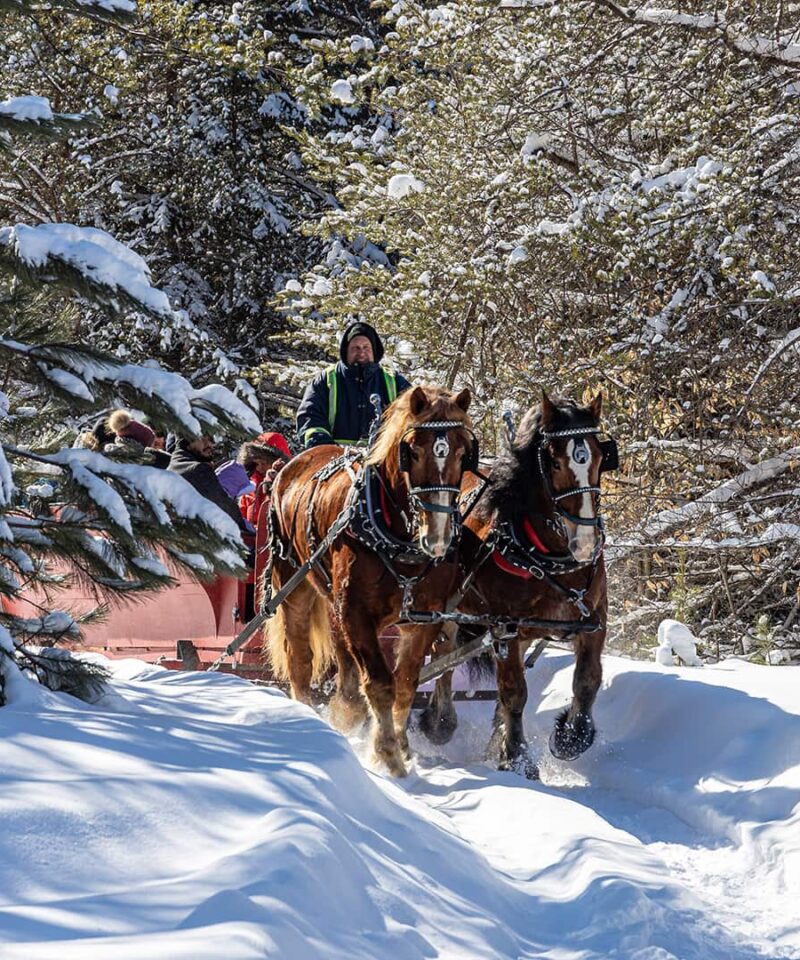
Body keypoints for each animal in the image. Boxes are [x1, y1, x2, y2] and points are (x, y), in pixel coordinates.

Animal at [265, 384, 477, 776]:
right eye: (414, 451)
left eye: (462, 452)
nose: (438, 536)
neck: (398, 537)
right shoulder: (356, 613)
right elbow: (380, 683)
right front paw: (388, 754)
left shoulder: (423, 619)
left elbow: (405, 684)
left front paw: (400, 745)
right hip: (294, 585)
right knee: (300, 658)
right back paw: (308, 718)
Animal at [419, 391, 616, 777]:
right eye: (553, 463)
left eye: (601, 457)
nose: (586, 543)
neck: (549, 555)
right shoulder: (504, 629)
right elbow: (514, 692)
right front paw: (516, 757)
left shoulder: (593, 620)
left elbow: (587, 680)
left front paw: (570, 738)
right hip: (449, 615)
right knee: (443, 659)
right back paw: (439, 723)